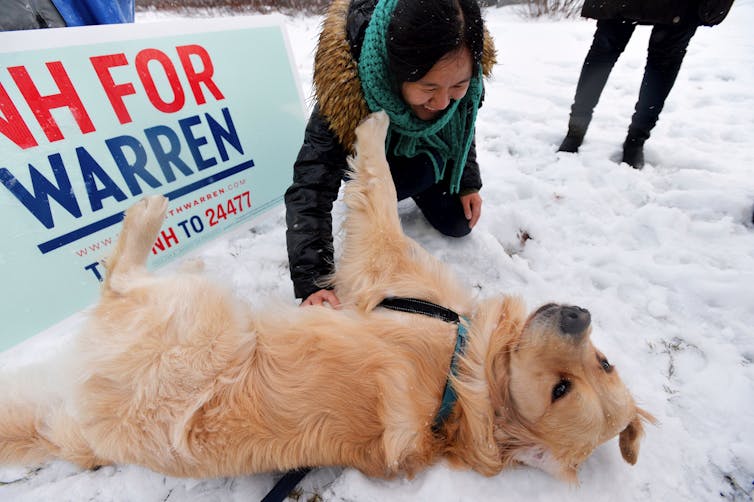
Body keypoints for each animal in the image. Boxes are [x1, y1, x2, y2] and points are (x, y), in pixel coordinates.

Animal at [0, 111, 648, 482]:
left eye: (562, 390)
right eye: (602, 363)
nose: (578, 315)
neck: (462, 378)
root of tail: (88, 429)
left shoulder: (383, 262)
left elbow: (377, 185)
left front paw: (375, 122)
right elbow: (378, 185)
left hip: (193, 313)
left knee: (118, 276)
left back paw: (147, 213)